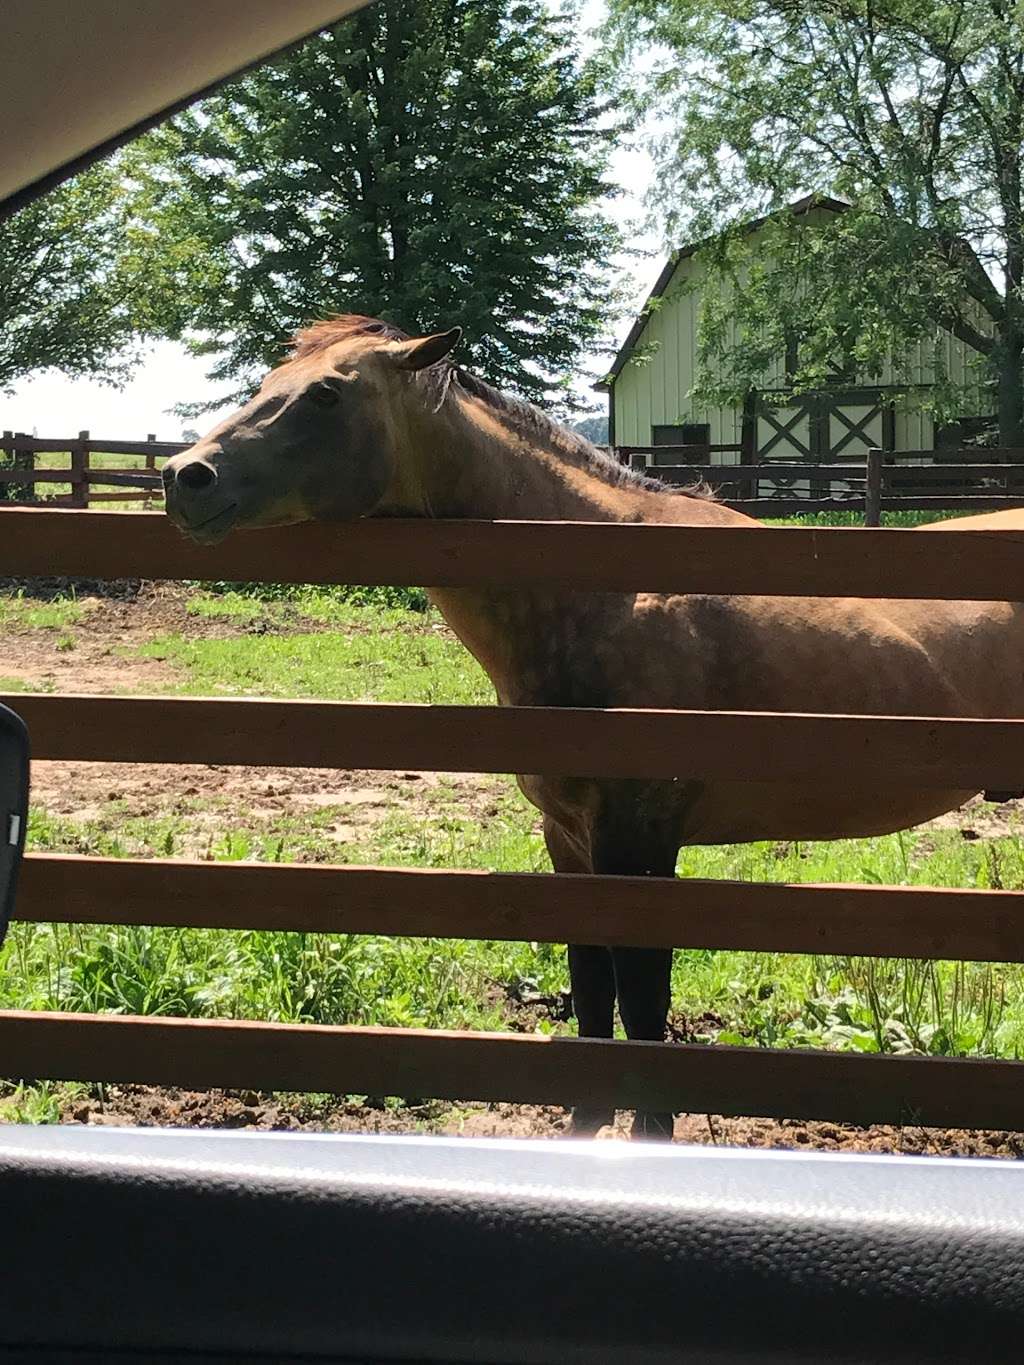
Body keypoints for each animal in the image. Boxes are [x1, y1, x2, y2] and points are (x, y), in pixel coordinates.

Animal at [164, 313, 1024, 1135]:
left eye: (328, 394)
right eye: (271, 381)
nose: (185, 477)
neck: (609, 584)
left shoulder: (638, 847)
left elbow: (641, 1000)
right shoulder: (571, 841)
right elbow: (592, 991)